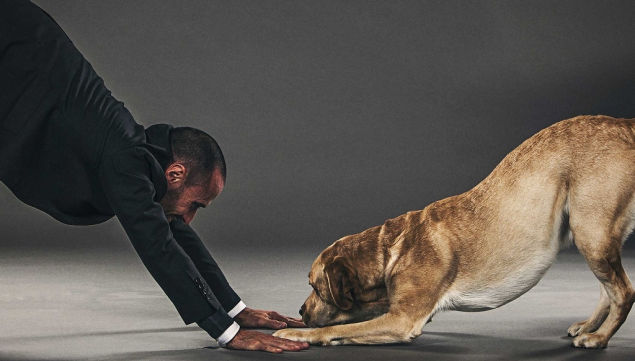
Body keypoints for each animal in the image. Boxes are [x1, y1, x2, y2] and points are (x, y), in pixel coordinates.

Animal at [274, 114, 635, 346]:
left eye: (315, 287)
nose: (300, 311)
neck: (388, 249)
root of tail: (624, 125)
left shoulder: (403, 319)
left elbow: (340, 329)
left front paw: (299, 334)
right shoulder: (394, 309)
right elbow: (351, 323)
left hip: (591, 233)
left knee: (624, 292)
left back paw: (599, 338)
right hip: (594, 238)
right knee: (608, 289)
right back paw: (588, 326)